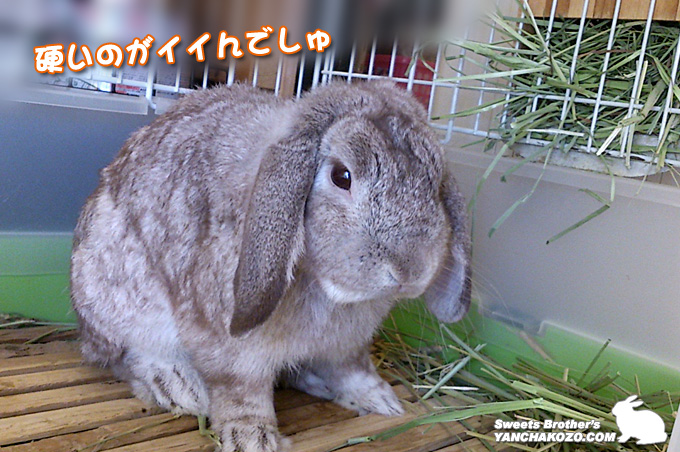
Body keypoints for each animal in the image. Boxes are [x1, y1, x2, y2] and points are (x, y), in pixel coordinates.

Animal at [70, 80, 471, 452]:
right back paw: (179, 387)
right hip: (117, 304)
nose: (410, 270)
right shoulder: (229, 348)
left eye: (434, 182)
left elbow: (353, 370)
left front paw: (382, 400)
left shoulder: (348, 346)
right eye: (341, 176)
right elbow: (240, 392)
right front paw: (253, 438)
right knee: (124, 356)